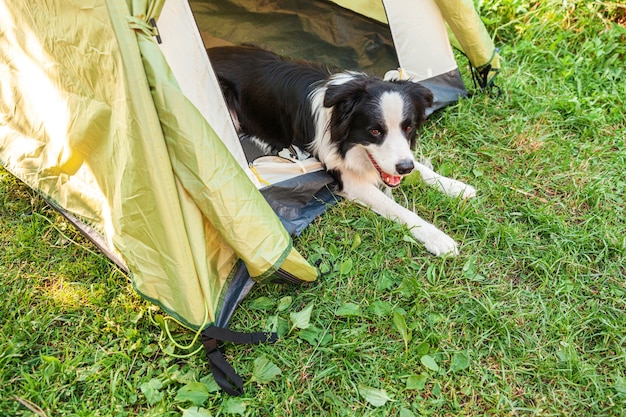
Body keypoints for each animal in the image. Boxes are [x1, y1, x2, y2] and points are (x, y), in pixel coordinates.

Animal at [207, 44, 476, 254]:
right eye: (375, 131)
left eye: (408, 127)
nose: (404, 169)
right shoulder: (347, 176)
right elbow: (399, 210)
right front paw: (438, 238)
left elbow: (422, 168)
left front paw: (456, 187)